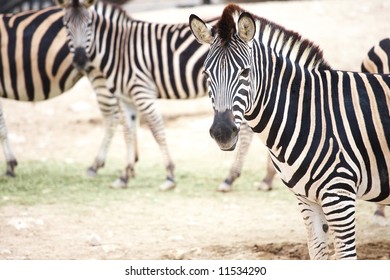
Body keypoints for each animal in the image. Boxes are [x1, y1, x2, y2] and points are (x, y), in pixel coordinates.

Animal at [56, 0, 278, 191]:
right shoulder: (125, 98)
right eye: (66, 26)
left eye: (89, 25)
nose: (80, 61)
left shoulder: (142, 90)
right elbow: (128, 132)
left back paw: (233, 178)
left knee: (248, 132)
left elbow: (156, 131)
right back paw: (267, 178)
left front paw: (169, 176)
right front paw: (125, 175)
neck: (119, 49)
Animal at [190, 3, 390, 260]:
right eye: (206, 74)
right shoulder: (306, 199)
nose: (222, 132)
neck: (309, 114)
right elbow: (317, 253)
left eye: (245, 72)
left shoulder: (339, 196)